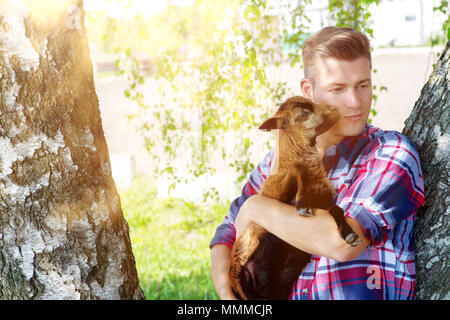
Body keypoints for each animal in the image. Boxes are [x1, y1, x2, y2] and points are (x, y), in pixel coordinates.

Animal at [230, 95, 360, 300]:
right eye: (303, 113)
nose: (334, 109)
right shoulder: (274, 191)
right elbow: (297, 169)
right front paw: (302, 205)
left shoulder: (324, 203)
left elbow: (337, 210)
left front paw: (350, 234)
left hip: (276, 283)